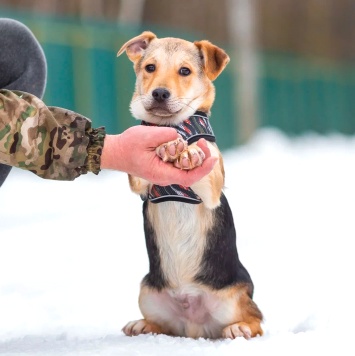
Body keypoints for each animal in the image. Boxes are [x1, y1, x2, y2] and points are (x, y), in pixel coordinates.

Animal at [117, 31, 264, 340]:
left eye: (184, 71)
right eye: (150, 67)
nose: (160, 93)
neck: (173, 126)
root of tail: (194, 324)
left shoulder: (212, 186)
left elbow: (202, 163)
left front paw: (190, 152)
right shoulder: (140, 180)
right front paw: (170, 146)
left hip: (234, 298)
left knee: (257, 320)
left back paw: (241, 327)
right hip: (147, 291)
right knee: (164, 326)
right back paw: (142, 324)